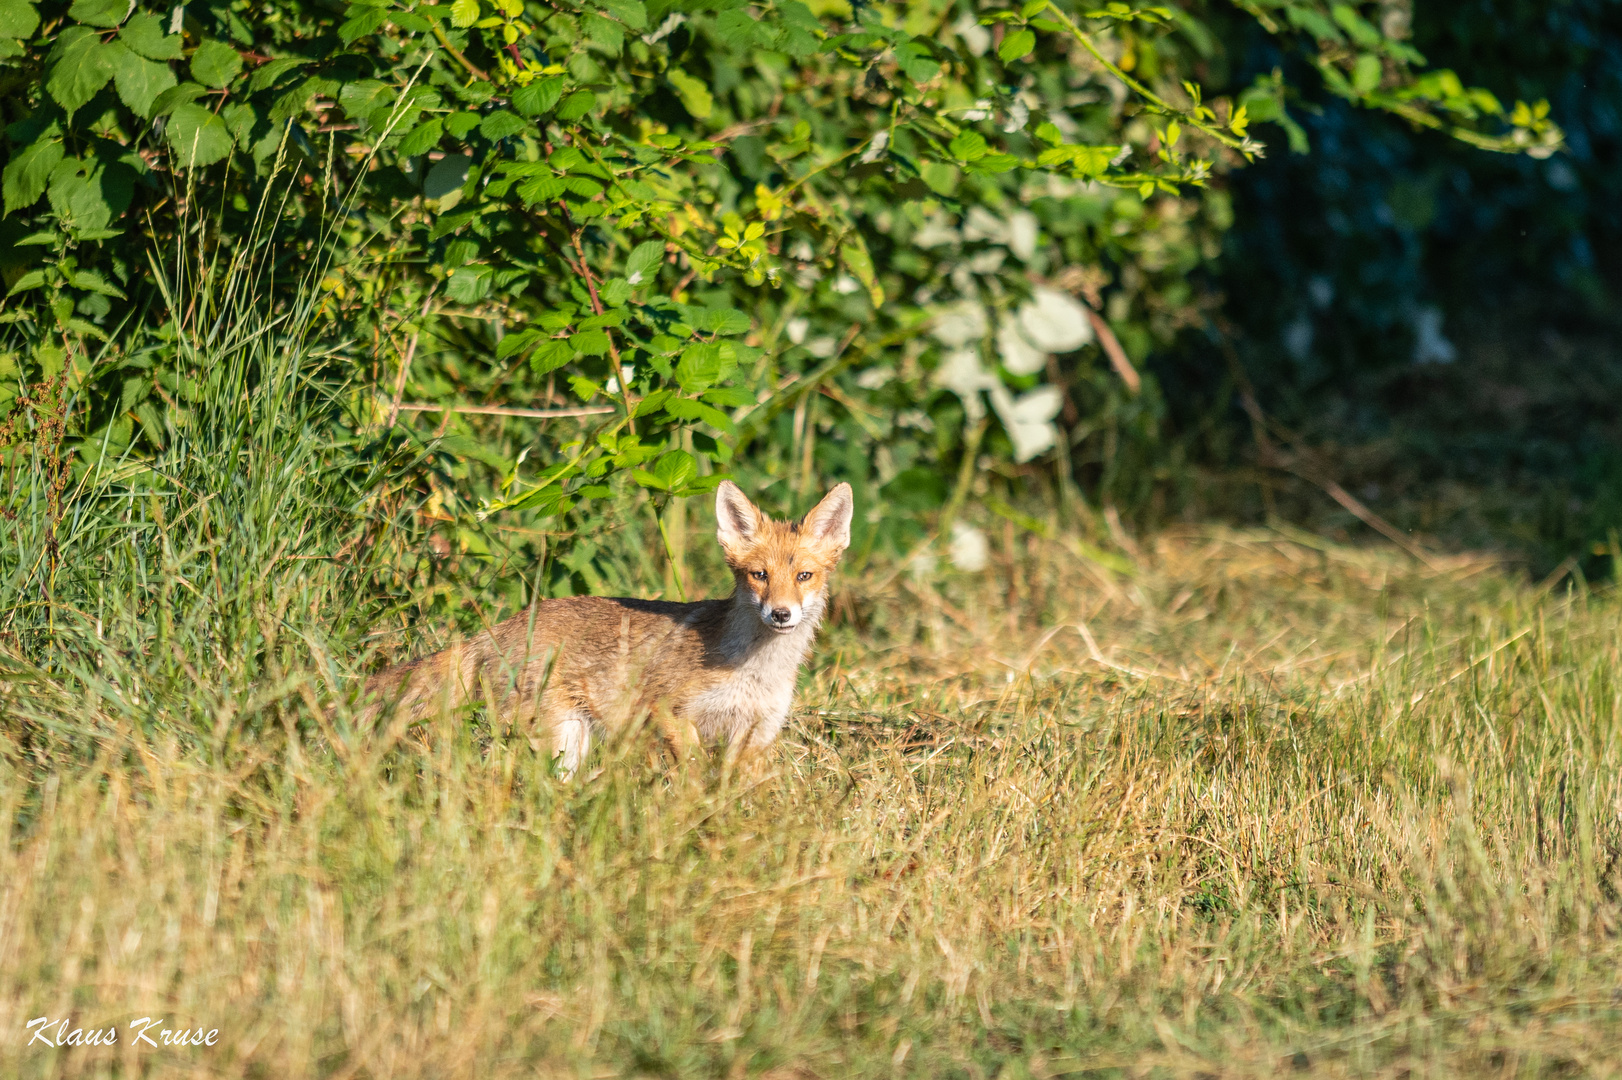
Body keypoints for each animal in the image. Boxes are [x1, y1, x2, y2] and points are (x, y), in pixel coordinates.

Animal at [360, 480, 856, 775]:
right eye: (759, 576)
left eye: (804, 576)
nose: (781, 614)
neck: (755, 671)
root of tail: (502, 625)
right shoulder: (669, 712)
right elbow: (694, 778)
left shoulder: (755, 734)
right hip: (560, 737)